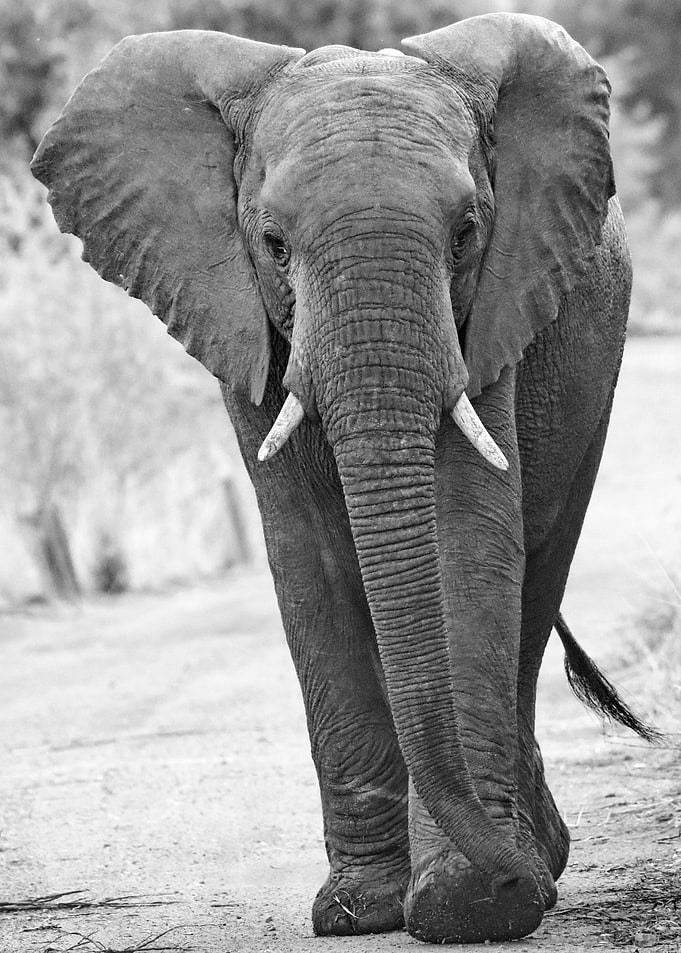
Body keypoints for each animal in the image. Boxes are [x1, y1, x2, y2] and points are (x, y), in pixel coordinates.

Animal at [31, 13, 656, 944]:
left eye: (466, 233)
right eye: (272, 245)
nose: (516, 887)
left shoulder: (492, 314)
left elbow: (463, 539)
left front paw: (467, 905)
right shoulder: (244, 327)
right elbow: (311, 559)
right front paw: (360, 908)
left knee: (538, 575)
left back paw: (534, 852)